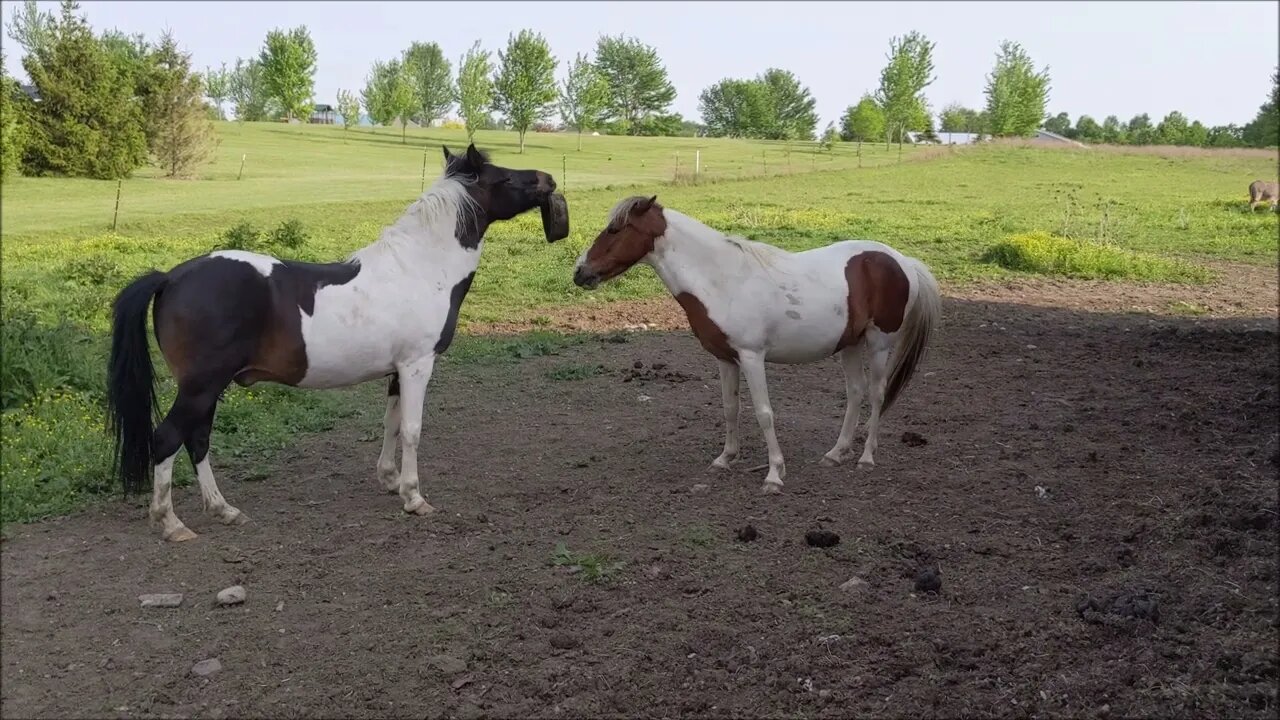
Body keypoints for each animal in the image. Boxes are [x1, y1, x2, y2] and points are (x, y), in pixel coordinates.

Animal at [107, 144, 568, 538]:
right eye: (504, 176)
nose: (549, 180)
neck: (420, 267)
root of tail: (170, 277)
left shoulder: (396, 370)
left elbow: (392, 422)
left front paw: (390, 480)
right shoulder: (417, 364)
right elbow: (413, 429)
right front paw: (414, 497)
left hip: (207, 388)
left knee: (197, 439)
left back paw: (224, 510)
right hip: (201, 386)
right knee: (168, 438)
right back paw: (171, 523)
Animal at [573, 193, 942, 489]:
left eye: (615, 230)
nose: (580, 272)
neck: (724, 279)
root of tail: (903, 261)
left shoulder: (752, 357)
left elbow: (764, 413)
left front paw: (774, 474)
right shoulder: (725, 359)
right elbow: (730, 408)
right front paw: (725, 458)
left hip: (879, 344)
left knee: (877, 394)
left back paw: (866, 457)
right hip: (850, 344)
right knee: (855, 393)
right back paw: (836, 453)